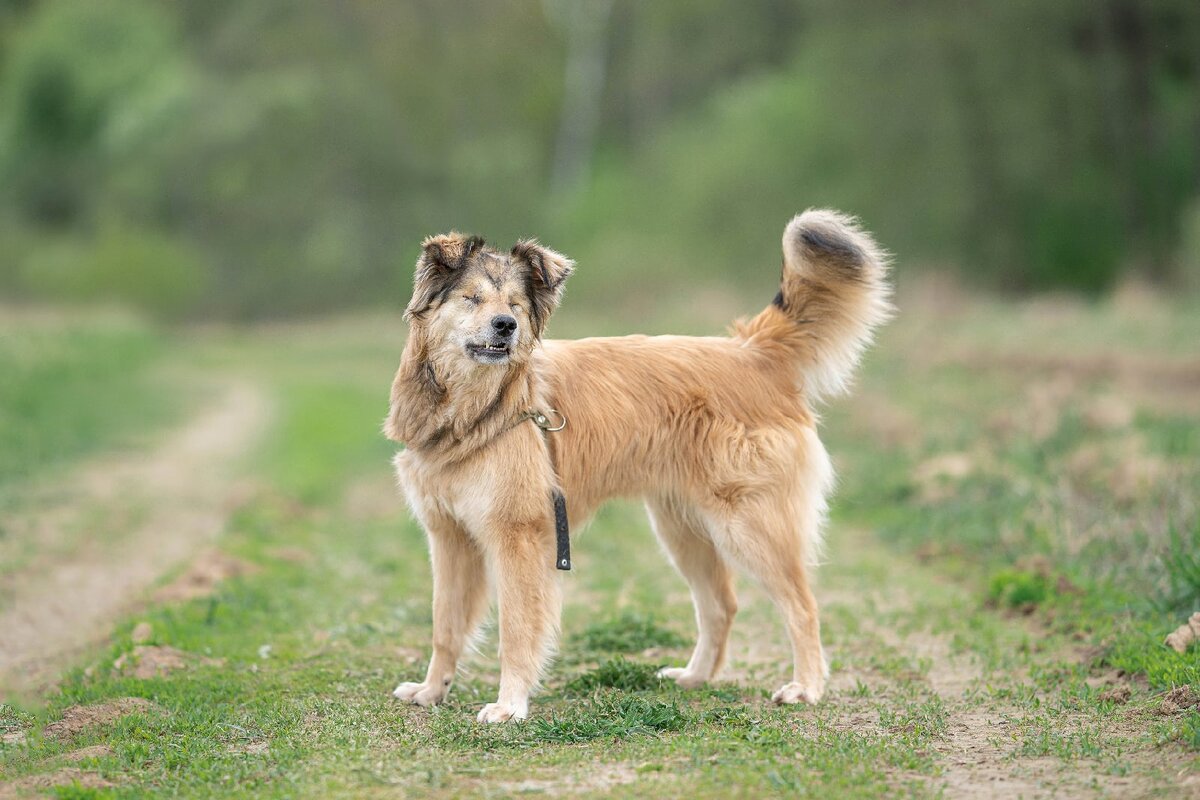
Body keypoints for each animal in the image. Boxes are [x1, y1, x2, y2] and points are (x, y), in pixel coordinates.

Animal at [384, 209, 892, 724]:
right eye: (471, 298)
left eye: (515, 304)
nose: (506, 326)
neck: (477, 410)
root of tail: (753, 351)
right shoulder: (450, 538)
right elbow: (445, 626)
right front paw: (432, 690)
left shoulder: (517, 538)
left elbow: (517, 629)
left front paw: (509, 706)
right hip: (683, 529)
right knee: (721, 605)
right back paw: (695, 677)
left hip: (750, 527)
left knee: (802, 606)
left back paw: (806, 686)